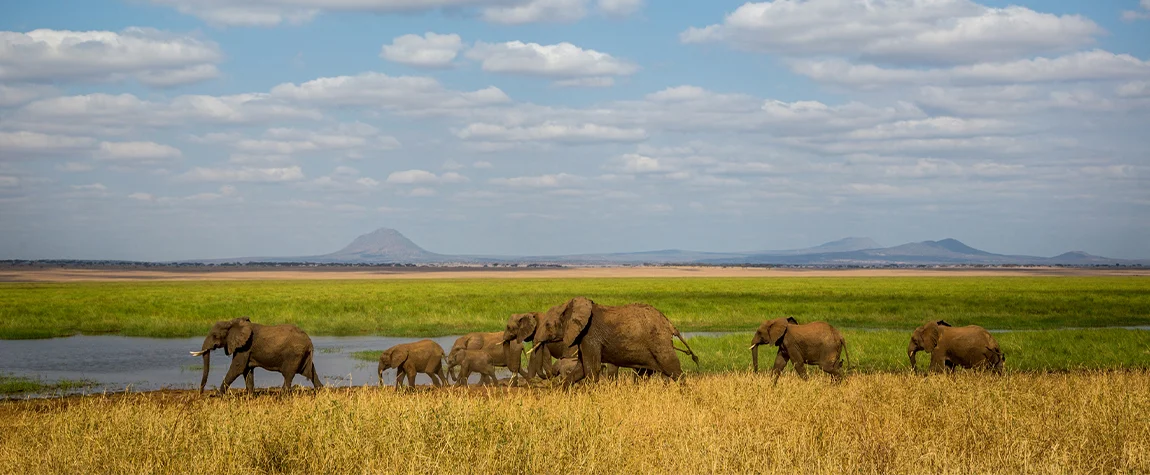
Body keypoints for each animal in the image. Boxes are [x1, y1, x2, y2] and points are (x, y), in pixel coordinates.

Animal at [189, 315, 324, 393]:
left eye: (215, 336)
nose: (201, 394)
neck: (231, 323)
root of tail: (309, 341)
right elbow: (247, 371)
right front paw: (250, 396)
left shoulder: (245, 347)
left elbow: (237, 368)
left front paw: (220, 394)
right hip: (302, 355)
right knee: (309, 372)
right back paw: (320, 391)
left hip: (294, 354)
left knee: (288, 374)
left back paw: (282, 396)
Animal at [510, 294, 699, 386]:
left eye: (548, 324)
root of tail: (670, 324)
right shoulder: (582, 338)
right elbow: (580, 369)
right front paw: (563, 393)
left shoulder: (589, 336)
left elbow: (591, 369)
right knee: (650, 373)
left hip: (659, 341)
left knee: (674, 370)